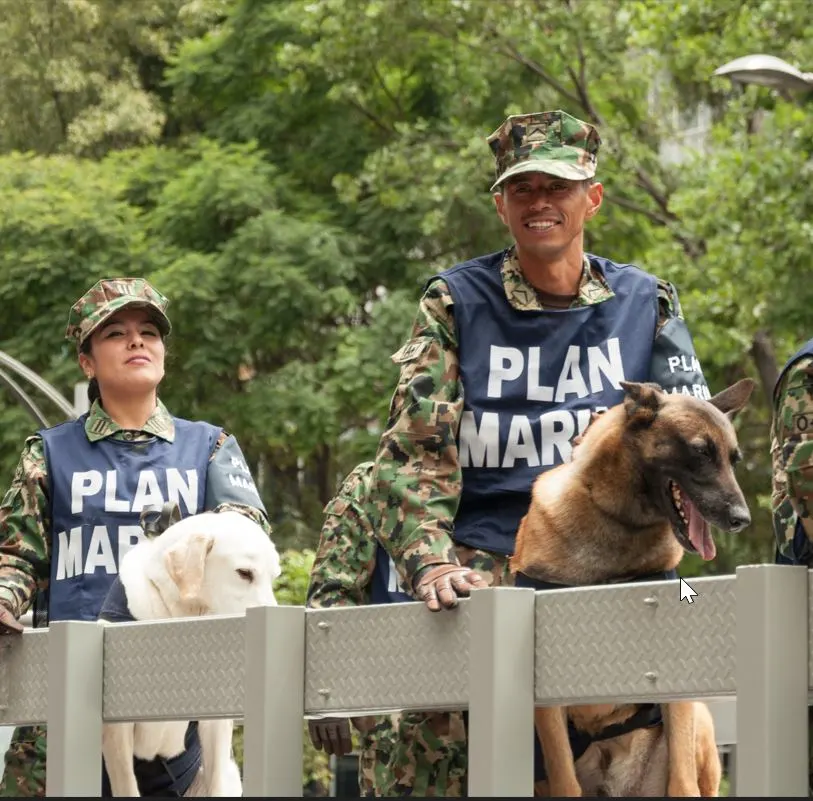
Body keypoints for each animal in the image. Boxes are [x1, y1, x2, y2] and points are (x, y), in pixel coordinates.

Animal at [98, 510, 280, 796]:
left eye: (273, 577)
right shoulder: (117, 727)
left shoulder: (216, 722)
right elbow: (126, 785)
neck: (180, 617)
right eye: (244, 573)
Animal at [508, 378, 756, 796]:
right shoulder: (547, 706)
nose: (742, 519)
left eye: (732, 460)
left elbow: (682, 782)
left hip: (700, 722)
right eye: (701, 452)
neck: (619, 525)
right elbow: (565, 781)